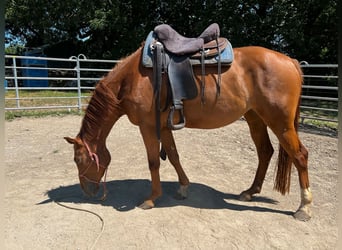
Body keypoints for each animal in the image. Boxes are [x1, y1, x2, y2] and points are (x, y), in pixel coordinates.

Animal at [64, 45, 312, 221]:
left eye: (78, 160)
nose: (87, 192)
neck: (131, 79)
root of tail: (290, 61)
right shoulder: (164, 127)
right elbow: (173, 156)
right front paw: (183, 187)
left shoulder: (147, 127)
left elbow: (154, 162)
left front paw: (151, 199)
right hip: (255, 118)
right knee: (265, 152)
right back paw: (250, 192)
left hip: (280, 123)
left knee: (300, 156)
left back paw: (304, 207)